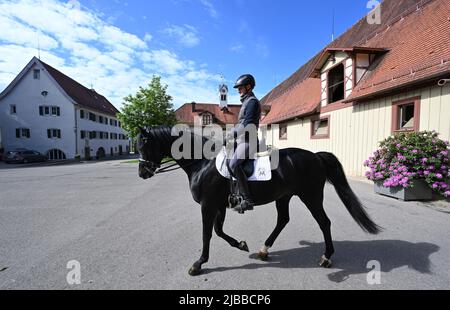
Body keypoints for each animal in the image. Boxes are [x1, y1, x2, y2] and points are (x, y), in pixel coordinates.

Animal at [137, 126, 380, 276]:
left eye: (144, 145)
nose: (142, 173)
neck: (202, 163)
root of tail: (315, 156)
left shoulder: (208, 206)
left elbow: (207, 233)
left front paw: (198, 264)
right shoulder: (219, 206)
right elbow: (218, 231)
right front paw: (241, 244)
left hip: (310, 196)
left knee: (324, 222)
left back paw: (326, 257)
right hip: (284, 197)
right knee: (283, 220)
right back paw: (264, 250)